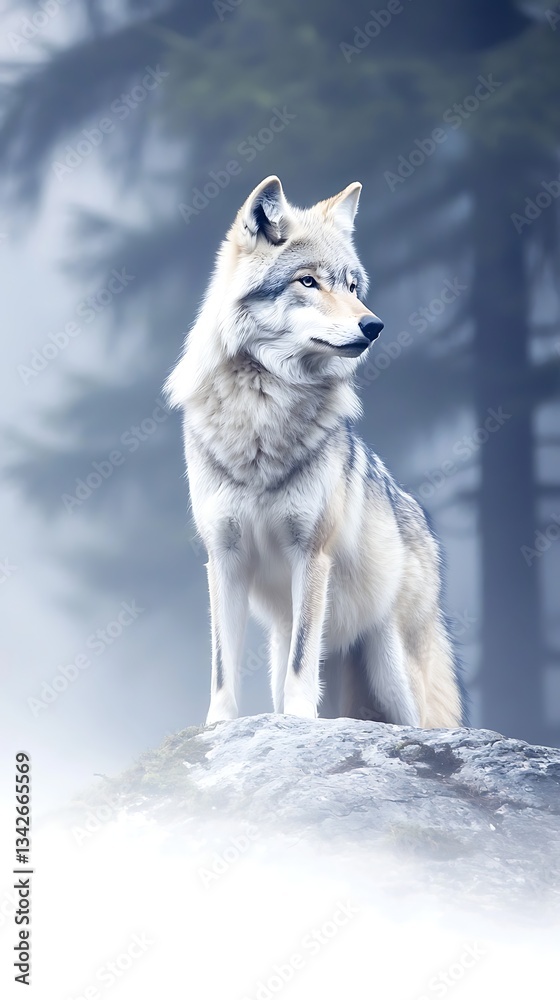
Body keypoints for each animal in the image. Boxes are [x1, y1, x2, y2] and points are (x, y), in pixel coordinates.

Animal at [165, 175, 464, 729]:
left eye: (352, 287)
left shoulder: (312, 552)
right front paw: (218, 725)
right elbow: (222, 663)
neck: (262, 411)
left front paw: (300, 720)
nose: (375, 326)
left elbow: (304, 659)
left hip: (396, 677)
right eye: (308, 282)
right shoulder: (225, 558)